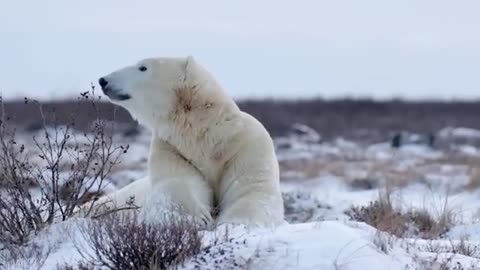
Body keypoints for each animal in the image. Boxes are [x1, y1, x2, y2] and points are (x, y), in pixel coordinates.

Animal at [97, 56, 284, 227]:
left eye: (142, 67)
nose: (103, 80)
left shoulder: (246, 146)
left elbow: (253, 190)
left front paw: (234, 223)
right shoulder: (171, 148)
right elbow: (176, 183)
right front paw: (197, 218)